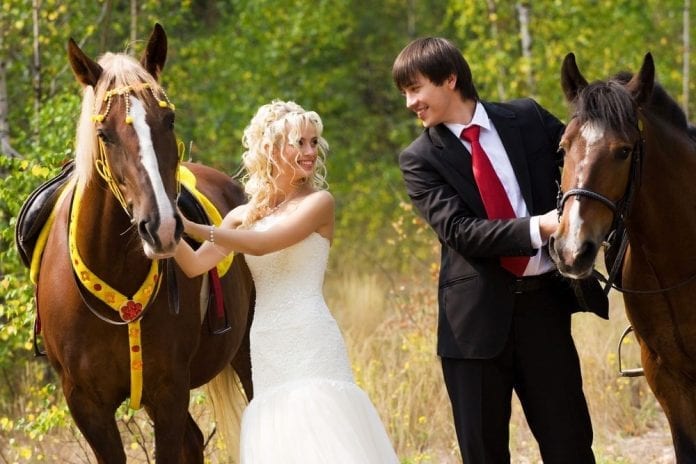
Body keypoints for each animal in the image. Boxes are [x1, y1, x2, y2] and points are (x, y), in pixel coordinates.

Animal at [32, 23, 254, 462]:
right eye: (104, 134)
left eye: (168, 119)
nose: (162, 227)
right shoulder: (86, 404)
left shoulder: (168, 391)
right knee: (194, 440)